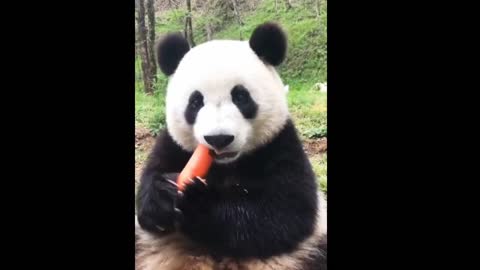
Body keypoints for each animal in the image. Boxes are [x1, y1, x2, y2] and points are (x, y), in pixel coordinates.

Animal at [134, 21, 326, 270]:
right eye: (195, 102)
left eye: (241, 97)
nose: (219, 139)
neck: (225, 165)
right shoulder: (174, 144)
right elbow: (147, 199)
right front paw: (163, 193)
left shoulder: (280, 144)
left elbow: (284, 212)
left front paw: (199, 202)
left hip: (305, 252)